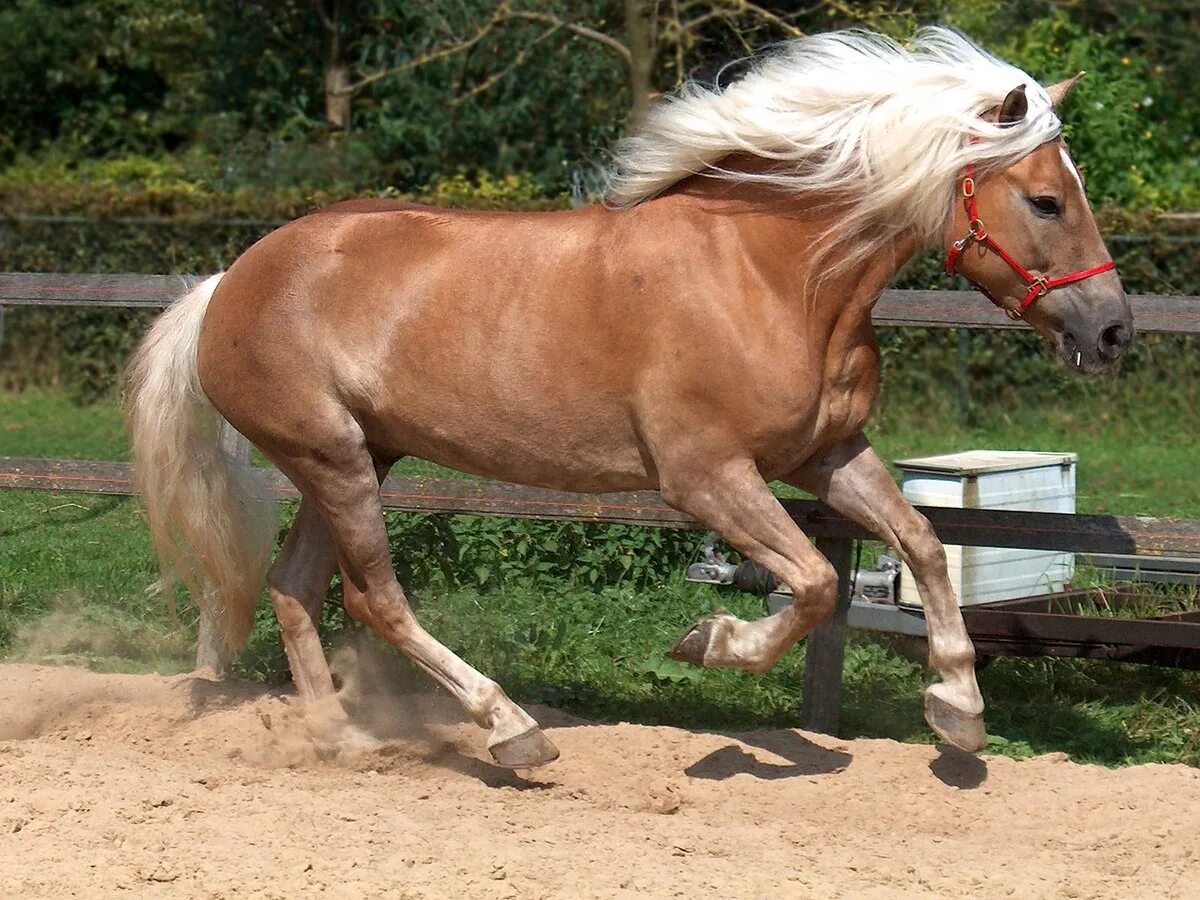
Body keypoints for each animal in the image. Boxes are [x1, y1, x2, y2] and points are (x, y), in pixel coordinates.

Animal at [127, 27, 1133, 768]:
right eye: (1046, 201)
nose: (1113, 332)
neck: (775, 275)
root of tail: (229, 281)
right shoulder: (706, 475)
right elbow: (812, 582)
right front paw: (711, 641)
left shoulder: (826, 454)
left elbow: (920, 541)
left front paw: (956, 707)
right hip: (332, 458)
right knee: (373, 598)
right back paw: (509, 731)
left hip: (356, 457)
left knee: (294, 588)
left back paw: (342, 739)